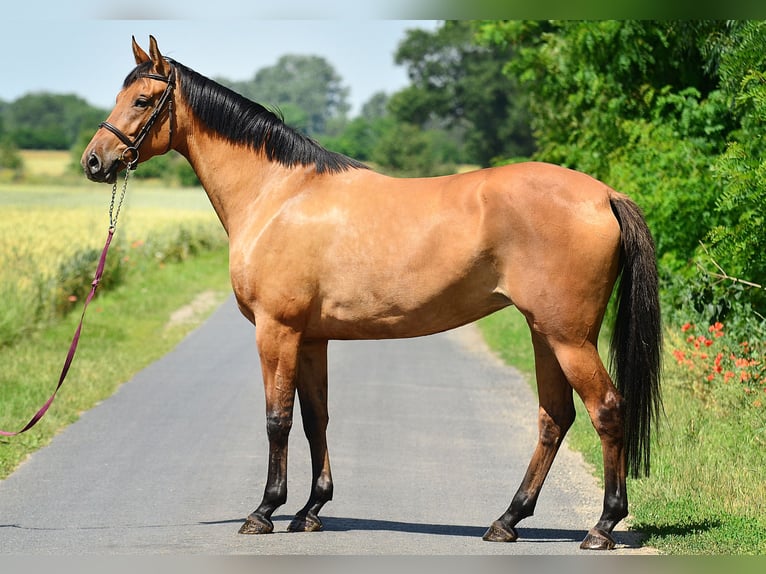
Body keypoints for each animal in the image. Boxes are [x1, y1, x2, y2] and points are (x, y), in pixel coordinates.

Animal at [81, 37, 664, 552]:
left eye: (141, 100)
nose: (94, 161)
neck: (279, 194)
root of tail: (604, 195)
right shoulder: (311, 338)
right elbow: (315, 418)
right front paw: (311, 510)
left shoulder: (278, 330)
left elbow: (277, 419)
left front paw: (265, 511)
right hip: (545, 332)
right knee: (554, 418)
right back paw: (507, 520)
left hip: (570, 337)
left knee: (607, 409)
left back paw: (602, 527)